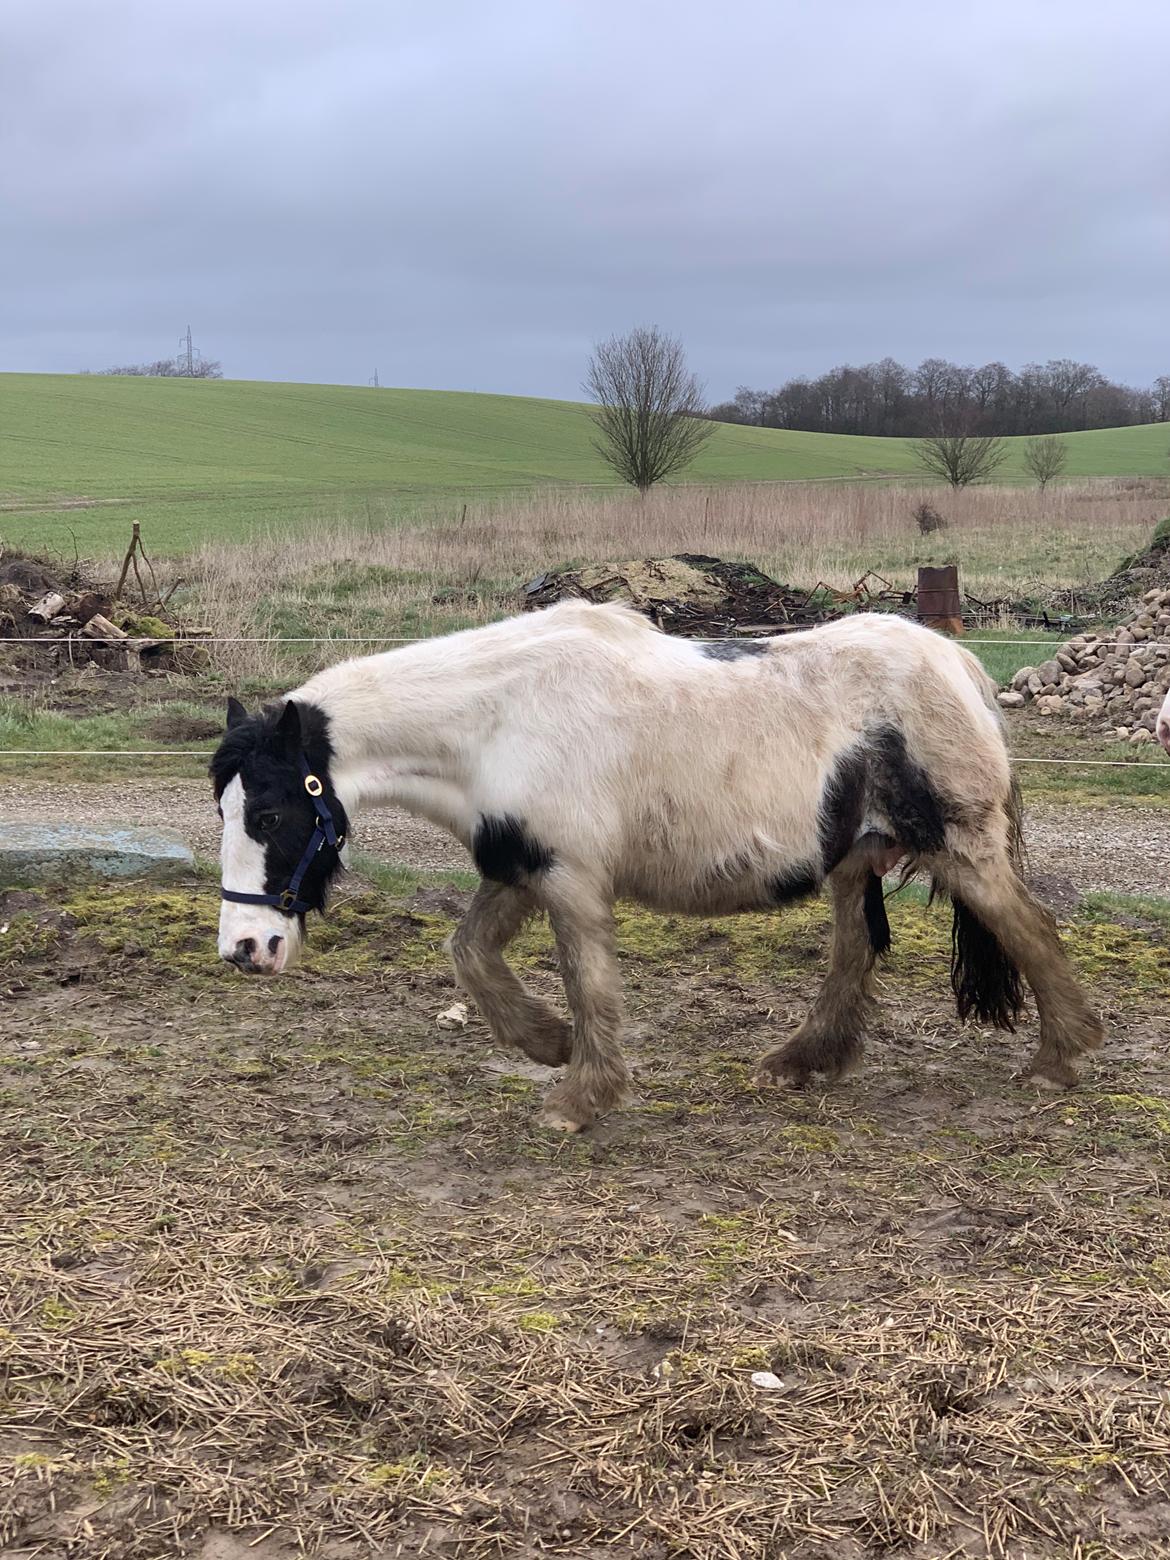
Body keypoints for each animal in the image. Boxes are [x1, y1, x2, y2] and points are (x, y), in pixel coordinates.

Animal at [213, 599, 1110, 1135]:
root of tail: (959, 666)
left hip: (962, 850)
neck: (498, 719)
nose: (244, 950)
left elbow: (590, 982)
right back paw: (801, 1064)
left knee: (1030, 928)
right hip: (855, 862)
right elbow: (468, 954)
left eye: (268, 814)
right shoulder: (521, 867)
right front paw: (546, 1042)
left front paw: (581, 1095)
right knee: (856, 957)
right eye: (222, 810)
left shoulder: (570, 878)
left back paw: (1058, 1061)